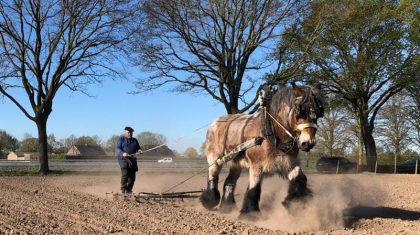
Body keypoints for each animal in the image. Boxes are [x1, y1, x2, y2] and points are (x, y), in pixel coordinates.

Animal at [200, 82, 324, 217]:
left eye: (318, 113)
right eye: (300, 112)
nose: (308, 143)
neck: (271, 132)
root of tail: (214, 123)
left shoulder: (289, 164)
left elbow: (300, 179)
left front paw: (295, 204)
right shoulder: (256, 166)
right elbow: (254, 189)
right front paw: (250, 214)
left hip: (236, 163)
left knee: (229, 182)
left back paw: (227, 207)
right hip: (214, 158)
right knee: (213, 176)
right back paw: (209, 200)